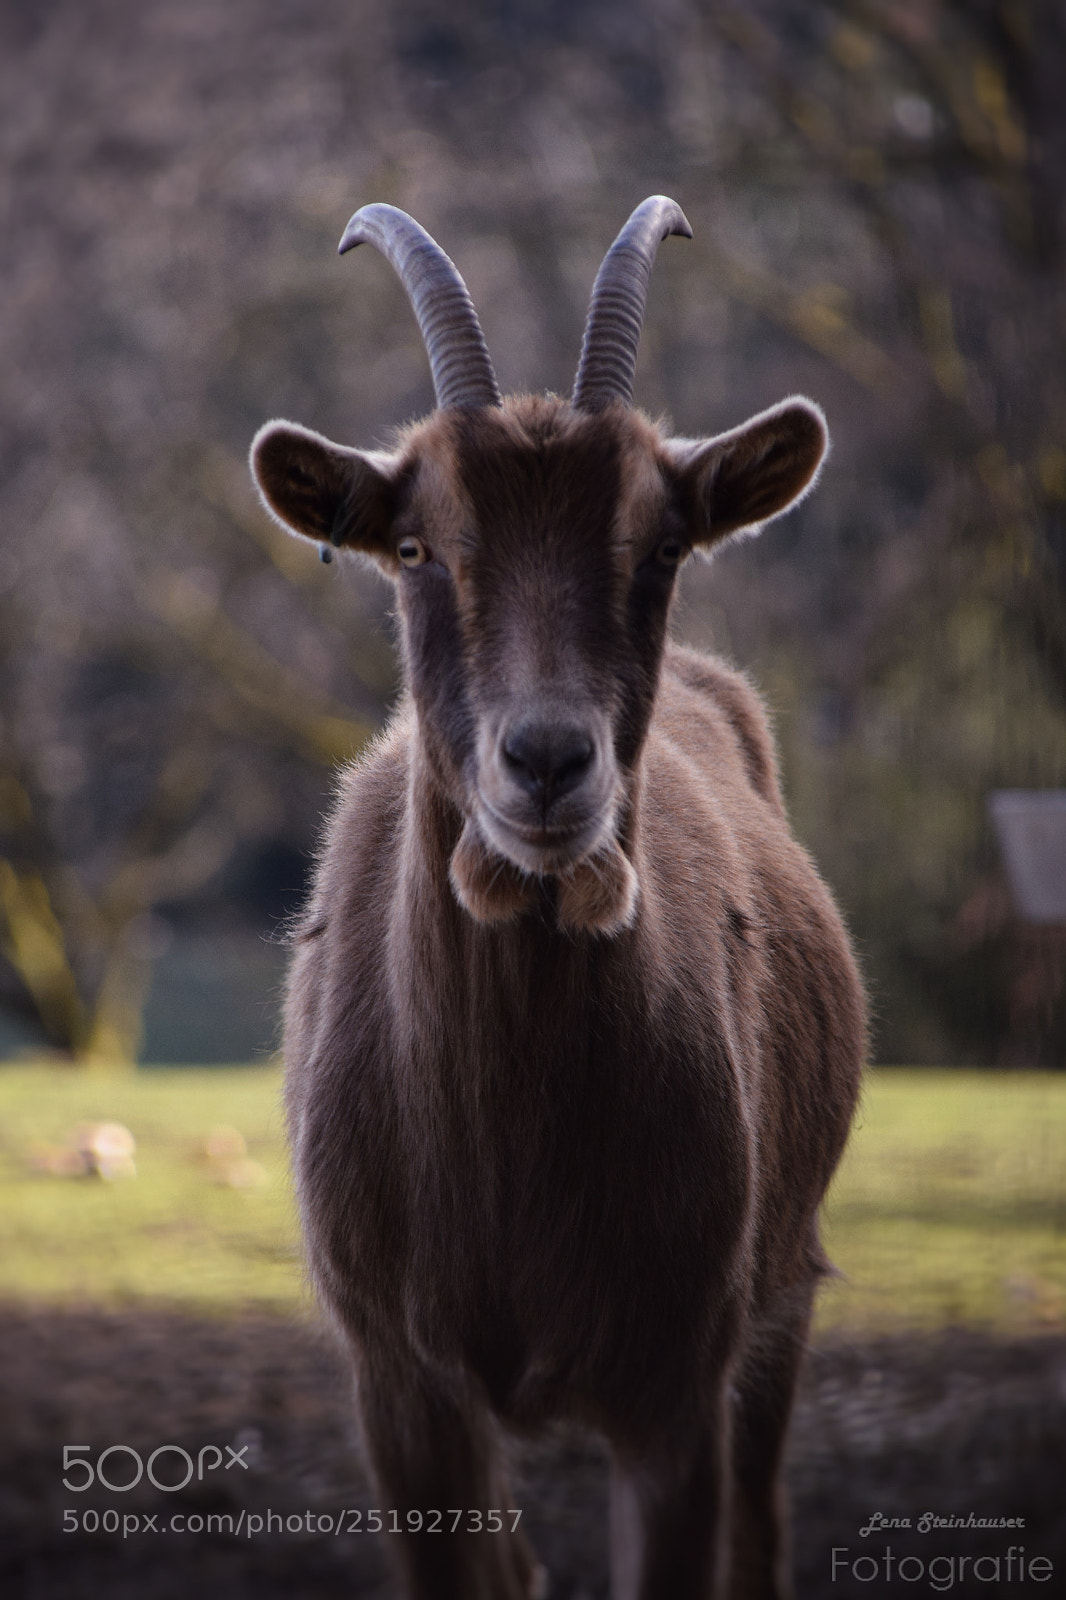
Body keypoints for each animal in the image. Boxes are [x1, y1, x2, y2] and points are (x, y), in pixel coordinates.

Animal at [250, 196, 865, 1600]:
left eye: (663, 543)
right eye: (414, 545)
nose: (544, 763)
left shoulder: (676, 1382)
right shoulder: (403, 1386)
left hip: (785, 1287)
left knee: (763, 1522)